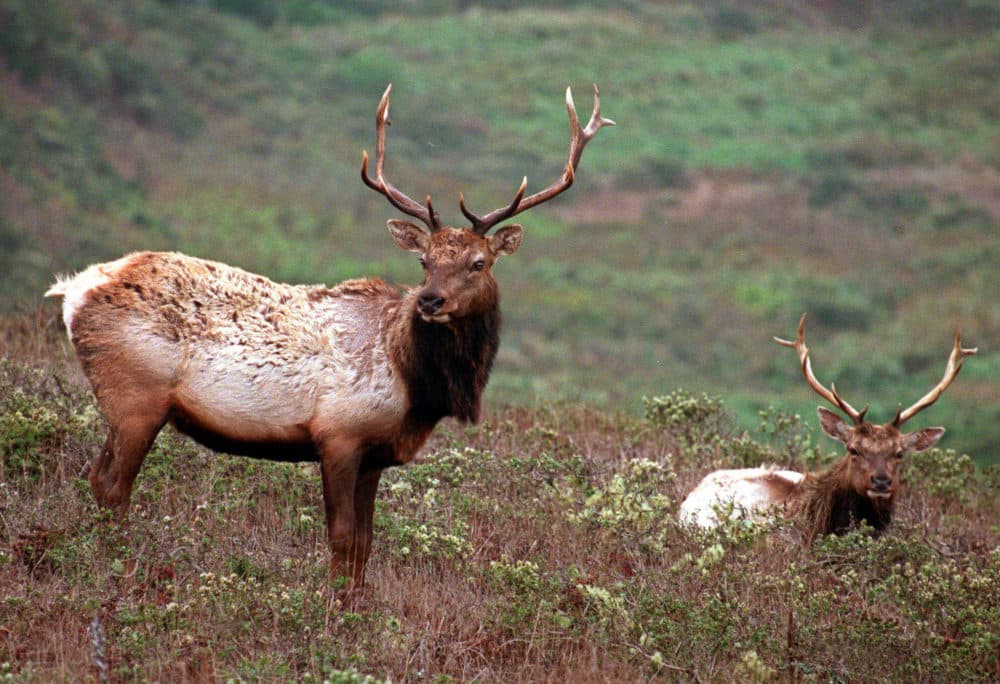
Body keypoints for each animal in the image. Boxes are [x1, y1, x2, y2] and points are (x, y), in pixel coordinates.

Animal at [45, 84, 614, 589]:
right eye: (425, 262)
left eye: (478, 263)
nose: (430, 301)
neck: (414, 384)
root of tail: (74, 289)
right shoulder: (339, 433)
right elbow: (341, 539)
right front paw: (333, 617)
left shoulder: (376, 453)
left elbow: (365, 544)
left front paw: (358, 611)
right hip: (135, 396)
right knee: (113, 486)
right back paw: (113, 573)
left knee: (96, 477)